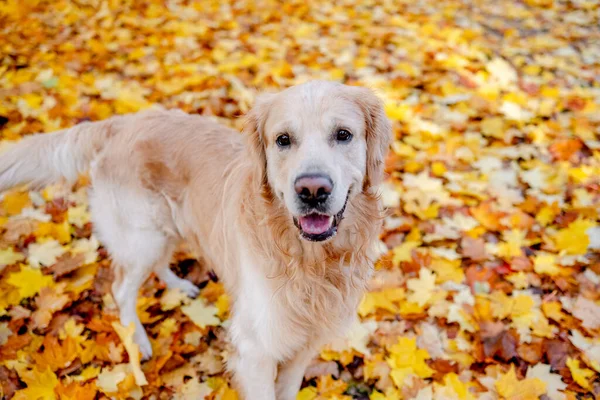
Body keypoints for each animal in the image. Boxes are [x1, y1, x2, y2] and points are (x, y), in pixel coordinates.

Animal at [0, 81, 392, 400]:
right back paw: (137, 341)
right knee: (122, 288)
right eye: (283, 140)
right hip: (142, 236)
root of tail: (121, 123)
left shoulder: (304, 345)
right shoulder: (255, 349)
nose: (312, 190)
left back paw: (180, 286)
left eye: (343, 134)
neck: (311, 260)